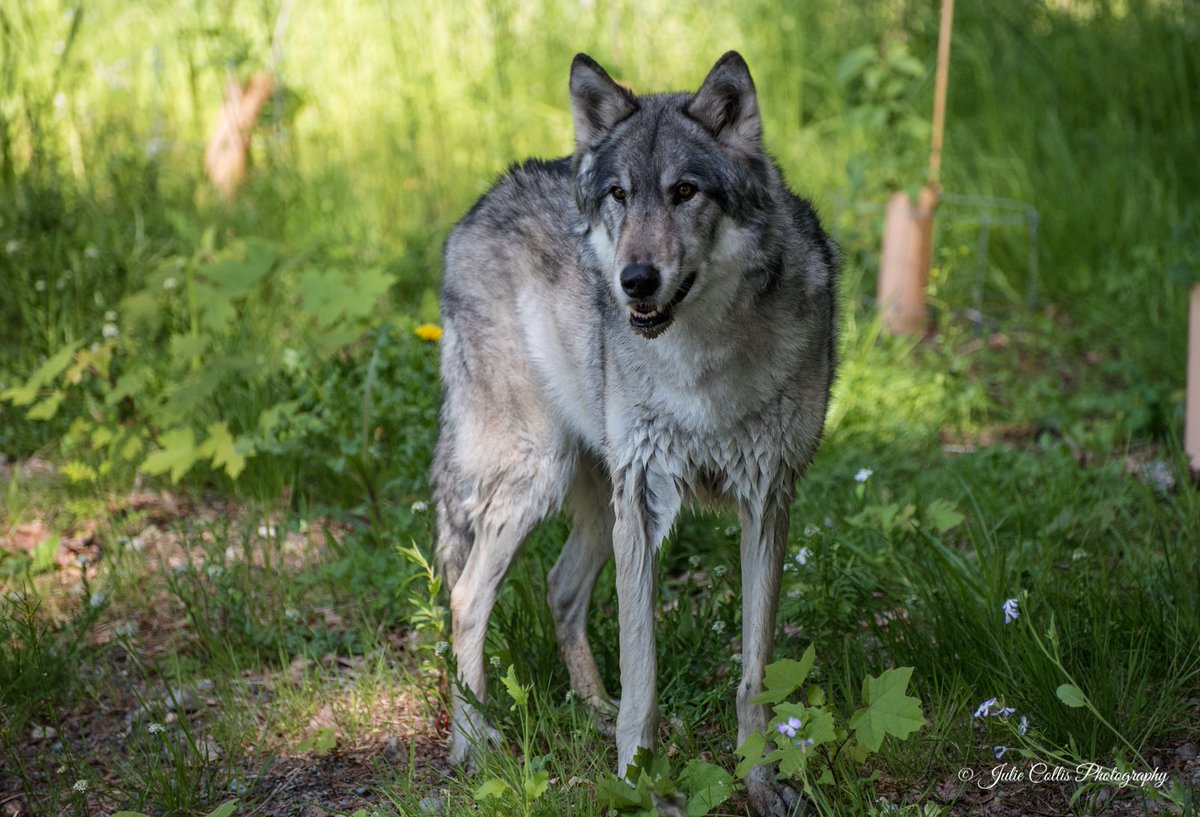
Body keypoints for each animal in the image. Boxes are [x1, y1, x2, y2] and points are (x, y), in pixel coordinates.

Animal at [432, 51, 838, 816]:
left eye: (685, 192)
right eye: (619, 194)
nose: (636, 281)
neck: (701, 364)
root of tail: (476, 207)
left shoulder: (767, 501)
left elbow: (753, 675)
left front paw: (760, 785)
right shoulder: (646, 505)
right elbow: (644, 679)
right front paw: (640, 785)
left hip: (598, 499)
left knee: (560, 588)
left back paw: (591, 709)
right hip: (544, 477)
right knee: (467, 597)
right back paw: (475, 743)